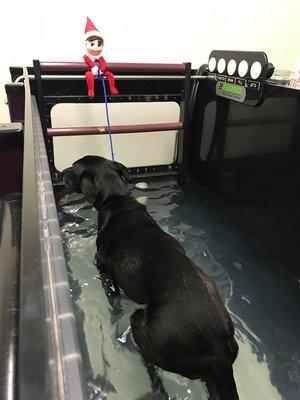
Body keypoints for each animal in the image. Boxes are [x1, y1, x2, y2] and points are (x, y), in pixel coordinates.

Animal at [62, 156, 239, 400]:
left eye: (73, 169)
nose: (61, 172)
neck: (117, 200)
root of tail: (218, 347)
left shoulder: (103, 268)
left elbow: (112, 298)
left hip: (142, 327)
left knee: (151, 367)